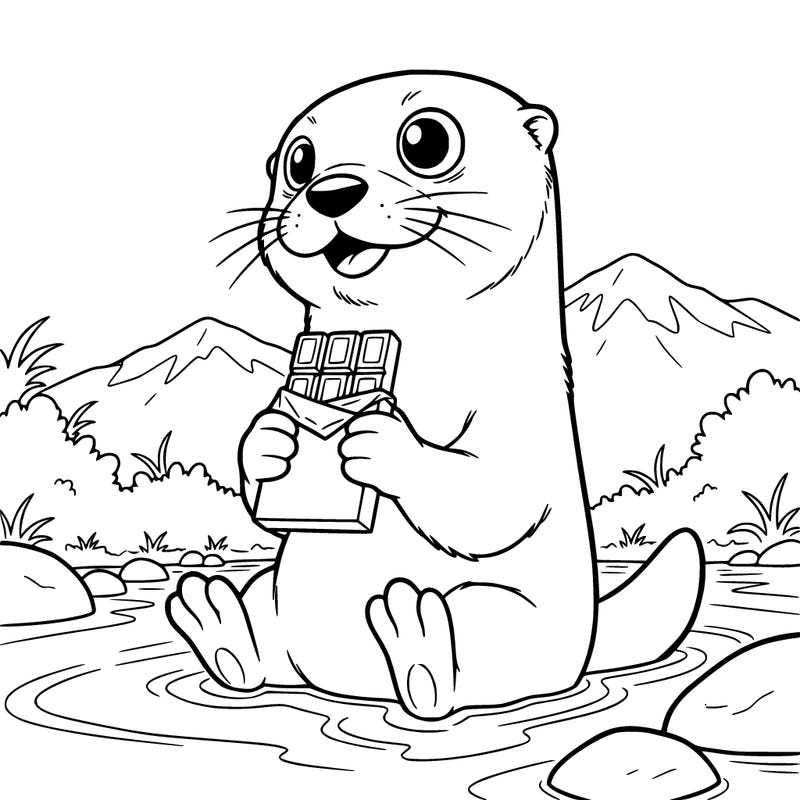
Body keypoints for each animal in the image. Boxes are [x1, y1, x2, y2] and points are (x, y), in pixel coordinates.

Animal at [167, 71, 703, 720]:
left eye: (426, 141)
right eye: (299, 162)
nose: (330, 191)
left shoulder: (522, 415)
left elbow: (496, 495)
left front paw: (382, 441)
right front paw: (269, 440)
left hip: (513, 616)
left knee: (467, 647)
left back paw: (417, 645)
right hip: (274, 593)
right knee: (261, 644)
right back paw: (218, 625)